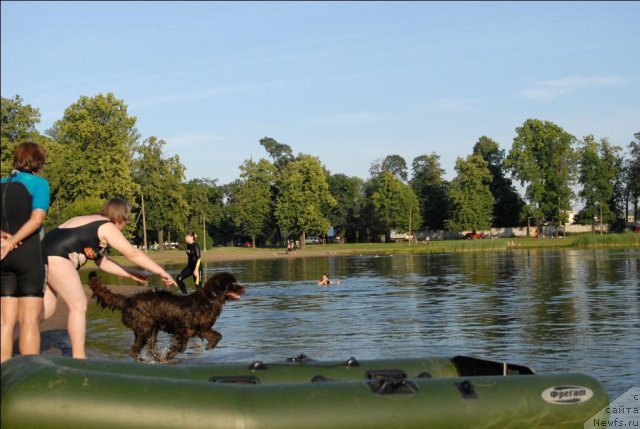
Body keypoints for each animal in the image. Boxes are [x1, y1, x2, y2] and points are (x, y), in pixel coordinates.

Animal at [91, 270, 246, 360]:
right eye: (233, 284)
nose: (243, 289)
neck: (210, 299)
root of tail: (127, 300)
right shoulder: (185, 330)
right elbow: (181, 347)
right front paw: (170, 355)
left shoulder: (202, 329)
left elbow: (218, 335)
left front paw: (210, 346)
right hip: (145, 328)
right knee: (134, 349)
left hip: (152, 329)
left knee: (149, 347)